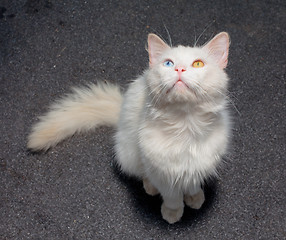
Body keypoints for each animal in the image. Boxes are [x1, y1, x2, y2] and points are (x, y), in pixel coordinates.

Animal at [27, 31, 231, 223]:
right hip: (130, 155)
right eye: (168, 63)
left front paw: (195, 198)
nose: (179, 69)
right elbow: (172, 197)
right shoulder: (162, 173)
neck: (185, 125)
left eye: (198, 64)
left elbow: (192, 185)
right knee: (143, 174)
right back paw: (150, 188)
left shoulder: (199, 166)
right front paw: (172, 213)